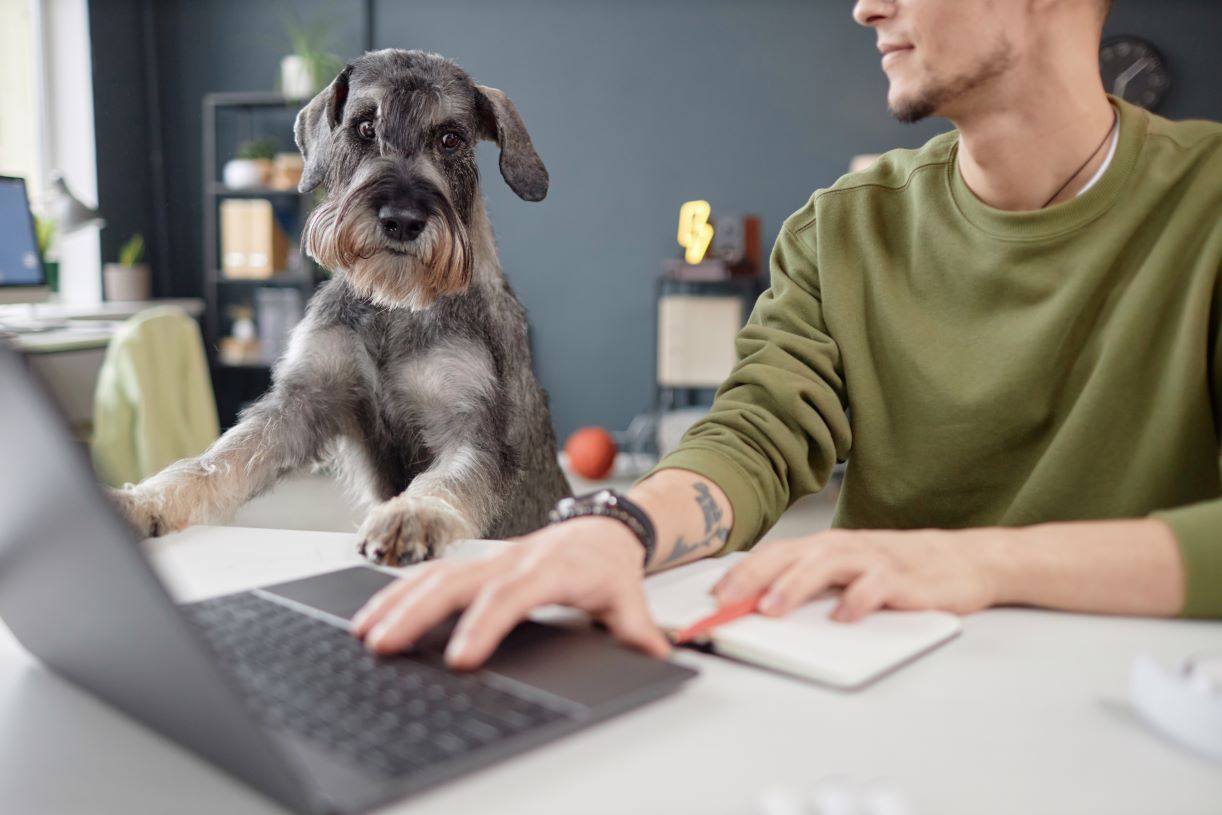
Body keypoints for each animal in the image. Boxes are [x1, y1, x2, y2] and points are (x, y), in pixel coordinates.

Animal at [112, 47, 569, 564]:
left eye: (450, 139)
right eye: (365, 126)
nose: (402, 220)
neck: (394, 307)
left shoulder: (472, 427)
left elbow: (446, 482)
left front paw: (410, 516)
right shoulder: (304, 401)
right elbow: (216, 460)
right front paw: (144, 499)